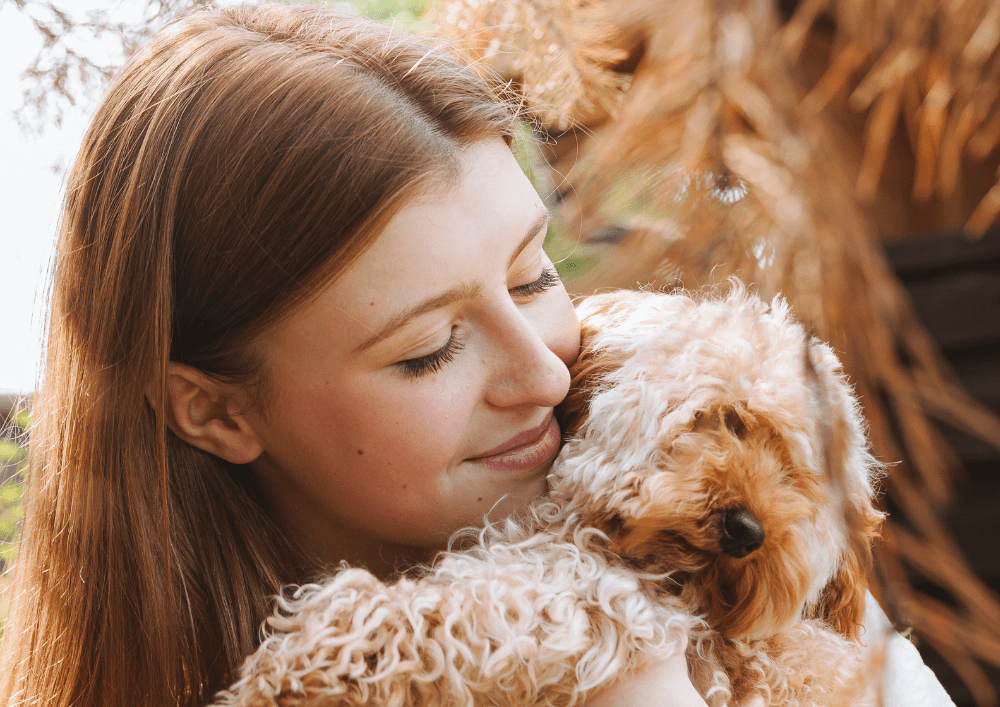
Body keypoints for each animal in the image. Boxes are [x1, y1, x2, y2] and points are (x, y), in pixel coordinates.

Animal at [213, 286, 884, 707]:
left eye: (803, 481)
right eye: (730, 418)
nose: (747, 530)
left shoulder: (586, 610)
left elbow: (430, 611)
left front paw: (295, 671)